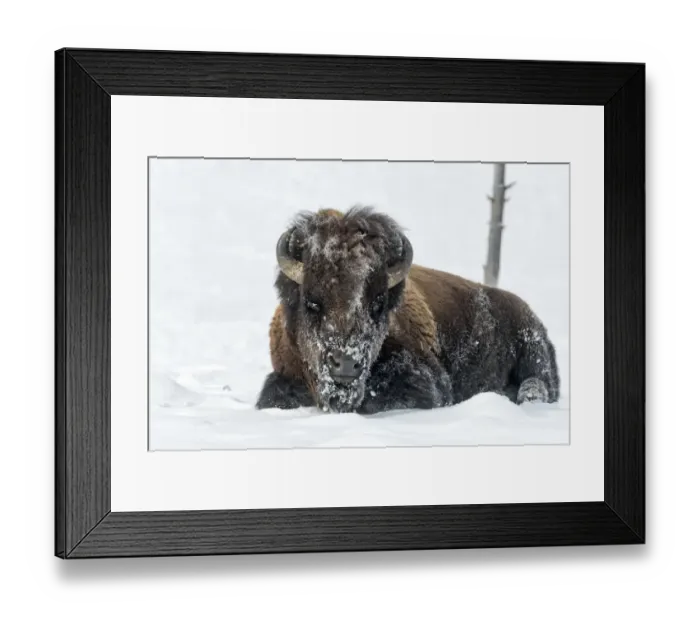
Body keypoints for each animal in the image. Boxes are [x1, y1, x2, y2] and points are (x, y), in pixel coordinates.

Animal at [255, 207, 560, 414]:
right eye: (312, 302)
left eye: (378, 302)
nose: (347, 364)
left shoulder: (429, 380)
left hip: (532, 350)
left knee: (539, 383)